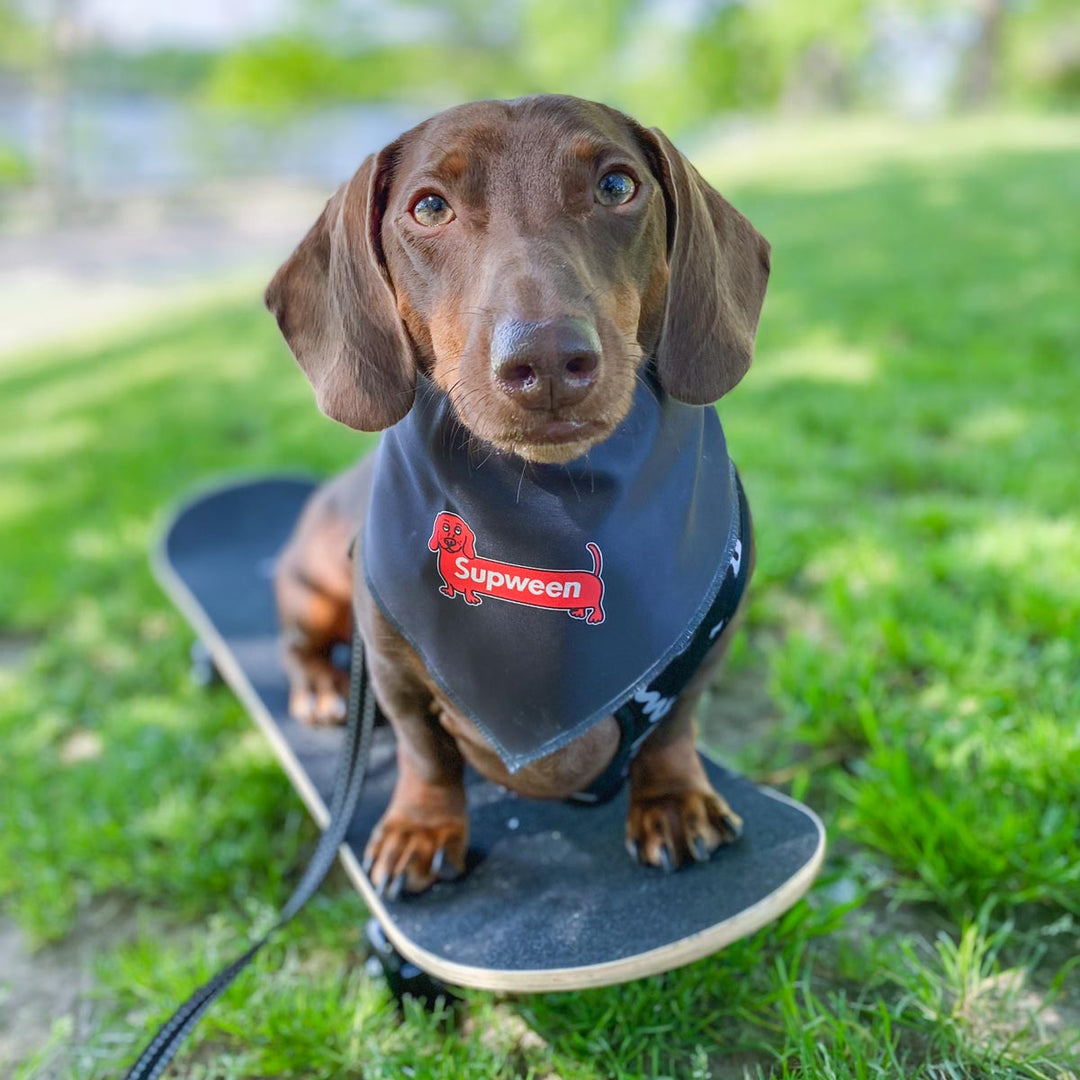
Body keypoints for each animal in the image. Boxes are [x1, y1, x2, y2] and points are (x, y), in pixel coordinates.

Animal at [267, 97, 768, 898]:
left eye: (617, 186)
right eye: (429, 206)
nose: (547, 360)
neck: (547, 503)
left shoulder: (710, 645)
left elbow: (676, 723)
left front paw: (672, 799)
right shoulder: (393, 669)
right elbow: (424, 750)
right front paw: (421, 826)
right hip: (314, 585)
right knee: (298, 643)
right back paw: (319, 687)